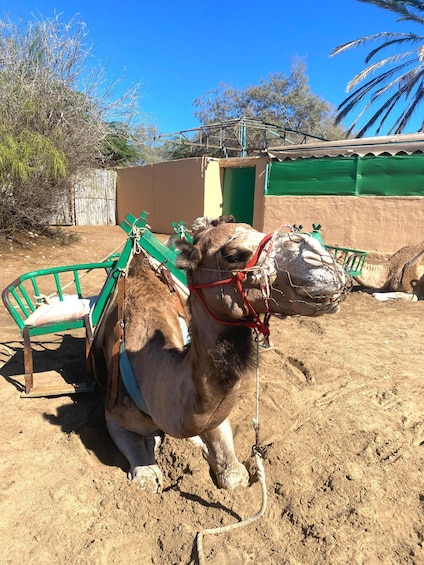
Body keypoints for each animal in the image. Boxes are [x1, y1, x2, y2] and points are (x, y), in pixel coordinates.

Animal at [101, 216, 350, 490]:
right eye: (232, 255)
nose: (323, 260)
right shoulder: (114, 415)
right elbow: (143, 471)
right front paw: (147, 464)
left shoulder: (216, 420)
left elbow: (235, 476)